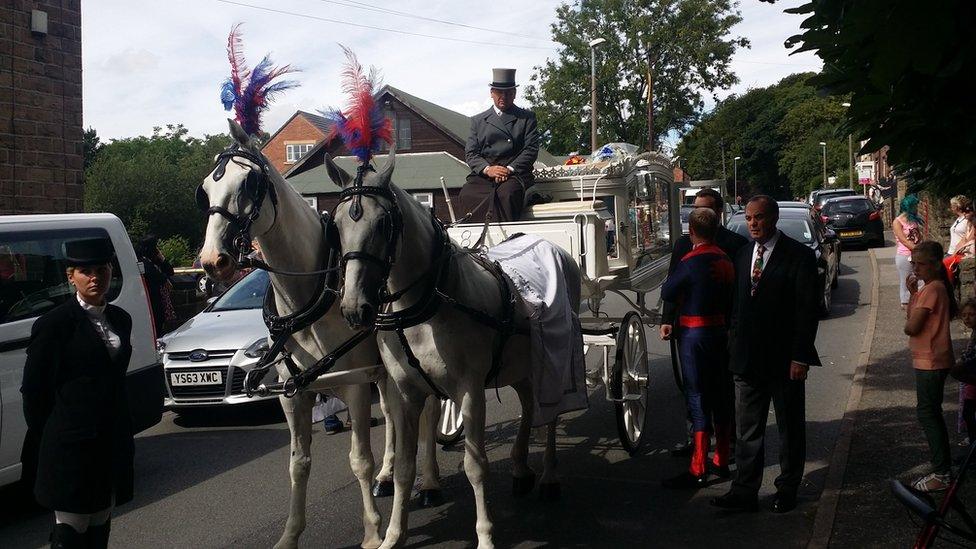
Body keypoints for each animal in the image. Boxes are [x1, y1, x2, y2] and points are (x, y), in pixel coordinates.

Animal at [198, 121, 442, 548]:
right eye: (205, 189)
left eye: (248, 183)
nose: (213, 261)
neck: (312, 293)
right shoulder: (293, 395)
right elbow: (297, 464)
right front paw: (290, 535)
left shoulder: (354, 385)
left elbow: (359, 460)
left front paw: (372, 531)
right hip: (384, 371)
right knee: (393, 414)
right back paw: (389, 476)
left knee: (426, 412)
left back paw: (427, 482)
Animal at [326, 148, 580, 544]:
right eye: (335, 225)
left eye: (383, 223)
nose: (355, 308)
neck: (425, 307)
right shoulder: (406, 393)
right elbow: (404, 468)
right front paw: (394, 534)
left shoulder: (469, 389)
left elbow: (475, 465)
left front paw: (485, 535)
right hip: (522, 365)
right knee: (528, 406)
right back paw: (521, 467)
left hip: (555, 355)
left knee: (548, 414)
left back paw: (549, 476)